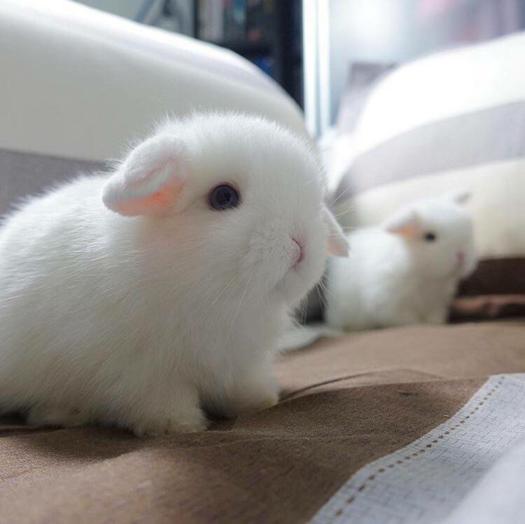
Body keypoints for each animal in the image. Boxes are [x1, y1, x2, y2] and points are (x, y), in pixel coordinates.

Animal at [0, 113, 348, 436]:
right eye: (223, 197)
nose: (301, 242)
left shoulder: (241, 363)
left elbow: (242, 387)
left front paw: (261, 401)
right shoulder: (141, 373)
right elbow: (160, 401)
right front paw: (180, 426)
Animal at [325, 191, 477, 331]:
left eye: (468, 227)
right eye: (430, 237)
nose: (462, 256)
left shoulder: (437, 303)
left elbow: (435, 316)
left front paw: (436, 323)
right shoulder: (390, 304)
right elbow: (408, 319)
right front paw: (421, 324)